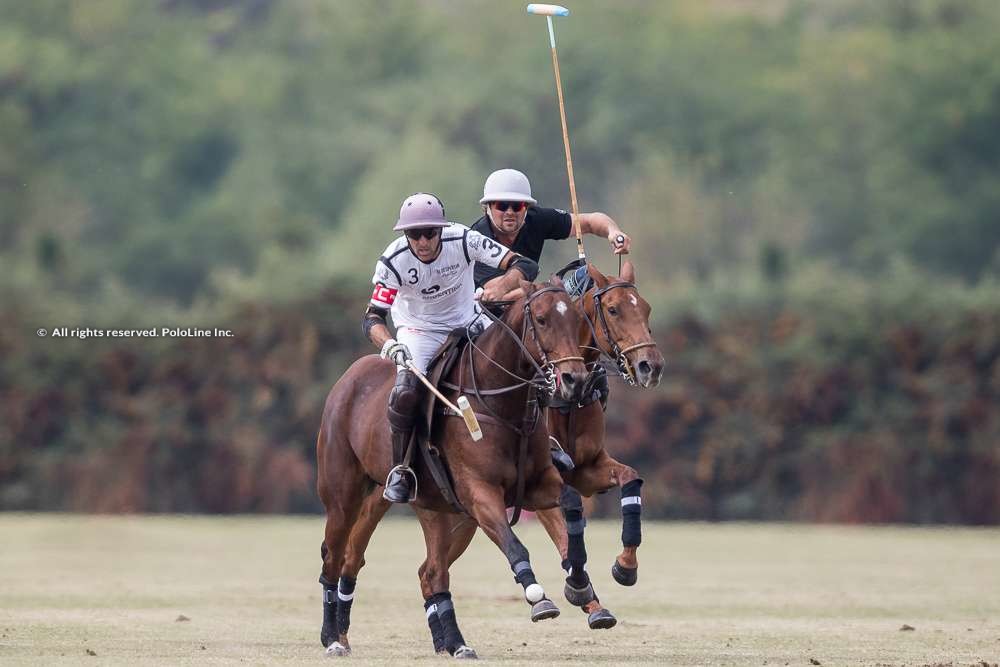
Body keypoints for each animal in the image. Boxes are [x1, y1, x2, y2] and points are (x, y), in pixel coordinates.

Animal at [318, 280, 584, 660]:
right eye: (543, 319)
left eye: (576, 319)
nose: (575, 380)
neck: (498, 401)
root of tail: (348, 377)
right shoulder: (480, 492)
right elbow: (515, 545)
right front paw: (538, 598)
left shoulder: (538, 485)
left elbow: (572, 501)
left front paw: (578, 581)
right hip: (343, 495)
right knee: (334, 555)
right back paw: (333, 638)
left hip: (441, 511)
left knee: (429, 571)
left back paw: (456, 643)